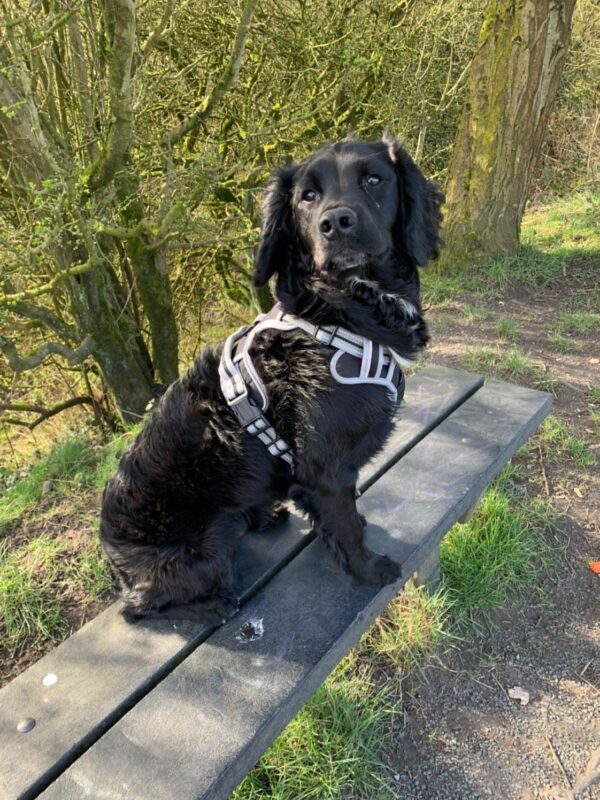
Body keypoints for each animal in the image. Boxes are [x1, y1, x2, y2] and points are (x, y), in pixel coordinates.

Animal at [101, 136, 442, 624]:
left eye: (375, 180)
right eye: (308, 196)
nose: (336, 223)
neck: (341, 312)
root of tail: (111, 558)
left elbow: (342, 518)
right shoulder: (325, 470)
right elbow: (345, 527)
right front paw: (368, 568)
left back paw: (262, 515)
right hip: (204, 549)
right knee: (141, 606)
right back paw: (213, 606)